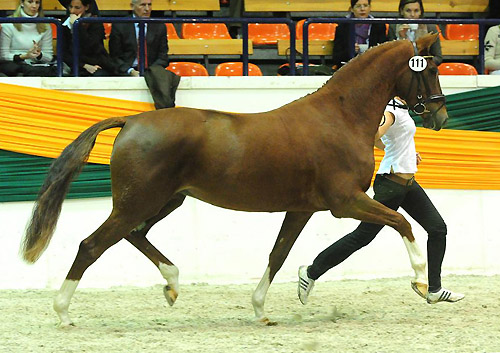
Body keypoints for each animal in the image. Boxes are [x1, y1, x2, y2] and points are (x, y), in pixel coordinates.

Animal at [21, 34, 448, 326]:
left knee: (134, 235)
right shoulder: (345, 202)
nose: (440, 117)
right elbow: (402, 222)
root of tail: (132, 120)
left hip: (165, 200)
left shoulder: (302, 209)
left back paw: (172, 284)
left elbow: (278, 254)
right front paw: (421, 283)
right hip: (138, 201)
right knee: (92, 245)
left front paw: (260, 310)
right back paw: (63, 312)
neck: (339, 117)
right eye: (429, 71)